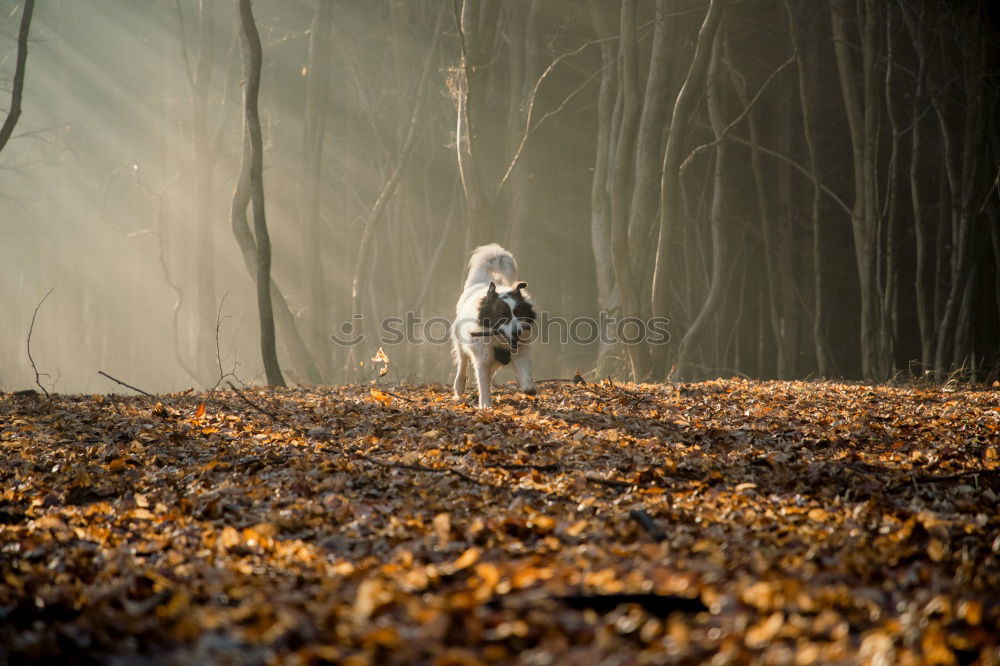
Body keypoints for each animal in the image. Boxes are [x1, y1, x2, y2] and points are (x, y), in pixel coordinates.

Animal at [452, 241, 536, 408]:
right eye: (503, 316)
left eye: (519, 313)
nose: (517, 332)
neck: (500, 341)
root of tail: (480, 283)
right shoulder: (482, 358)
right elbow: (482, 381)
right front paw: (485, 405)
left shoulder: (521, 351)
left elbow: (524, 369)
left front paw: (528, 387)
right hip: (460, 340)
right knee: (463, 361)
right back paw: (459, 385)